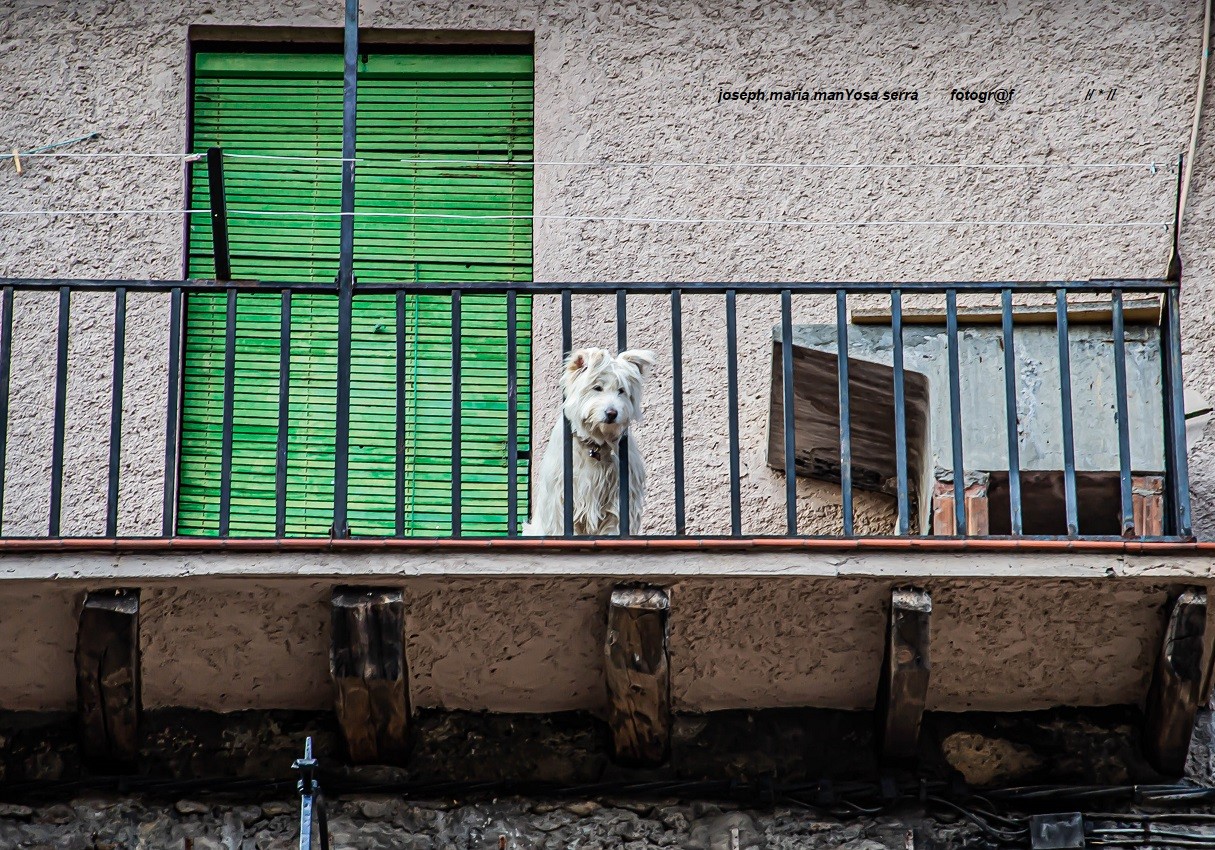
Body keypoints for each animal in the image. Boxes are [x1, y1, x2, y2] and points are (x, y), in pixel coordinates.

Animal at [522, 344, 656, 531]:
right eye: (597, 388)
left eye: (621, 391)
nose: (612, 413)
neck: (595, 443)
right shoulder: (560, 500)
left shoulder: (619, 501)